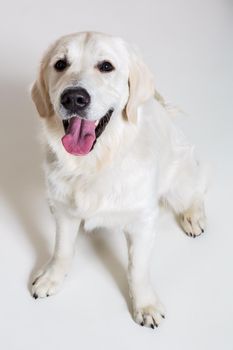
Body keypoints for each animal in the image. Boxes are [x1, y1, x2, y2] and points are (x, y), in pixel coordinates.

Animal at [30, 31, 207, 330]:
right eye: (60, 64)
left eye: (106, 66)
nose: (73, 98)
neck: (95, 164)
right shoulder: (62, 210)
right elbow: (62, 249)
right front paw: (52, 277)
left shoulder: (142, 221)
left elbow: (138, 269)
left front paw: (145, 305)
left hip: (180, 179)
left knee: (197, 190)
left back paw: (193, 216)